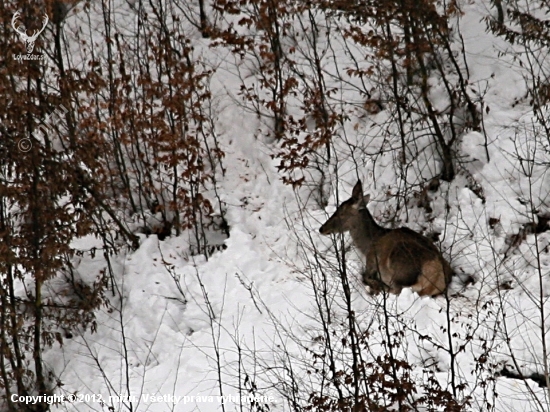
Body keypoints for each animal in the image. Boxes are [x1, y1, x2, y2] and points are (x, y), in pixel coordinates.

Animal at [320, 180, 452, 296]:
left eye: (341, 213)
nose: (322, 228)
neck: (368, 243)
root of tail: (437, 278)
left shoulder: (371, 261)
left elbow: (365, 275)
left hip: (398, 266)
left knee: (397, 289)